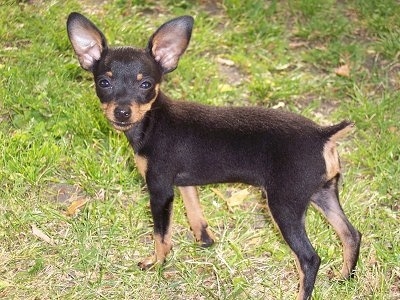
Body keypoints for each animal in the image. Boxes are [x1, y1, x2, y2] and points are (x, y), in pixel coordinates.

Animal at [67, 13, 360, 300]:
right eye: (104, 83)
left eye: (146, 84)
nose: (122, 112)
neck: (153, 119)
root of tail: (323, 134)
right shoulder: (184, 183)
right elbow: (195, 211)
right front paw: (205, 240)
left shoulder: (160, 190)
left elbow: (161, 235)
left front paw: (157, 263)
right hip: (322, 193)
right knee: (351, 234)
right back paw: (345, 278)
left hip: (284, 205)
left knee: (309, 258)